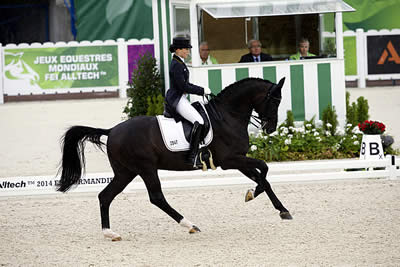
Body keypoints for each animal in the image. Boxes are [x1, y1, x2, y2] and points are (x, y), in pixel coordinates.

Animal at [57, 78, 290, 243]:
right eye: (275, 100)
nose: (270, 128)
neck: (227, 115)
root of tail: (112, 130)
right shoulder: (230, 159)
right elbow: (264, 169)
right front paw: (255, 195)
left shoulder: (239, 159)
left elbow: (263, 178)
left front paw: (277, 207)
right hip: (146, 168)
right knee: (156, 197)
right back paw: (190, 225)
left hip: (126, 172)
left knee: (105, 196)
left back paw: (110, 233)